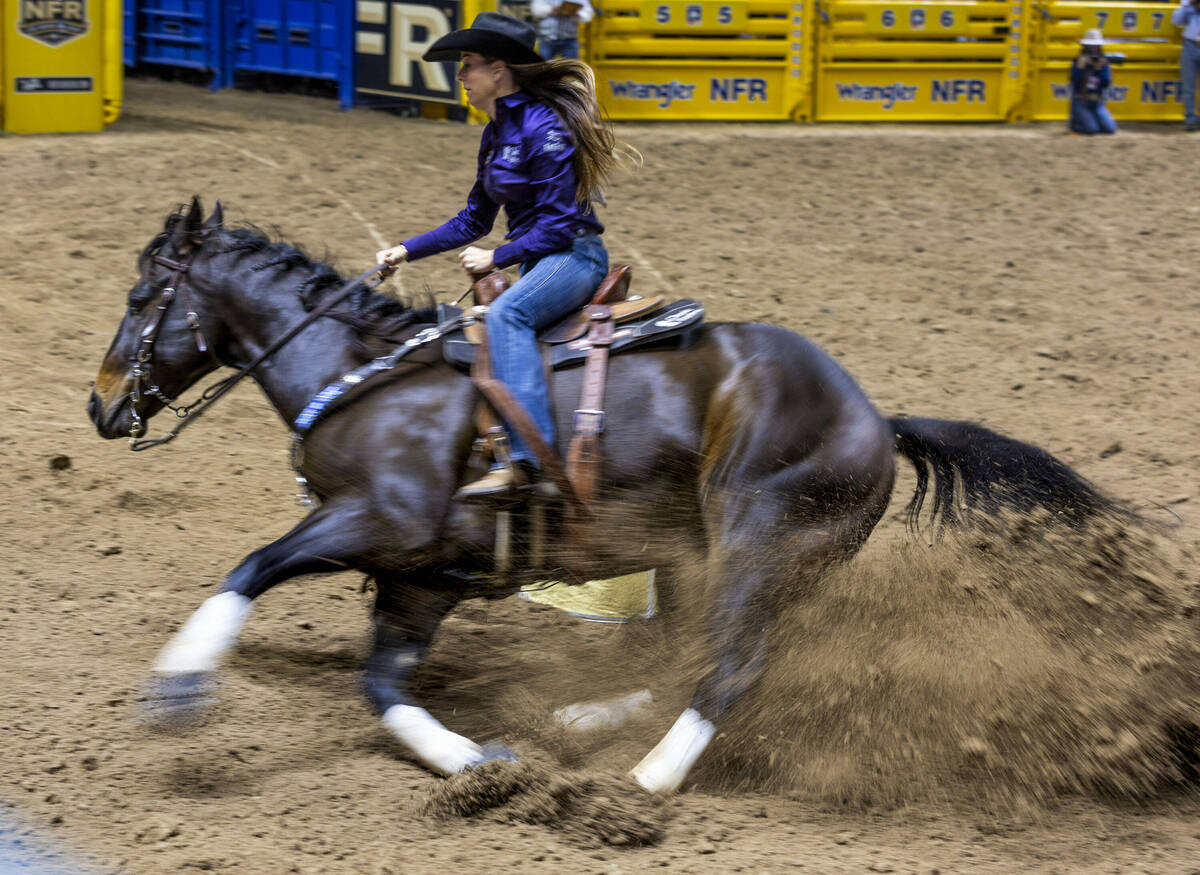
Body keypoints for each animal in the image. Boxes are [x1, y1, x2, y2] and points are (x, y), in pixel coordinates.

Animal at [87, 201, 1113, 796]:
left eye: (141, 297)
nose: (100, 405)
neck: (366, 377)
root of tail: (875, 418)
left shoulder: (385, 519)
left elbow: (251, 565)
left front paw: (181, 683)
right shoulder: (421, 576)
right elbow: (381, 684)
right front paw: (477, 763)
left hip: (759, 536)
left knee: (734, 662)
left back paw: (646, 779)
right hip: (696, 552)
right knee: (689, 648)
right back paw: (583, 721)